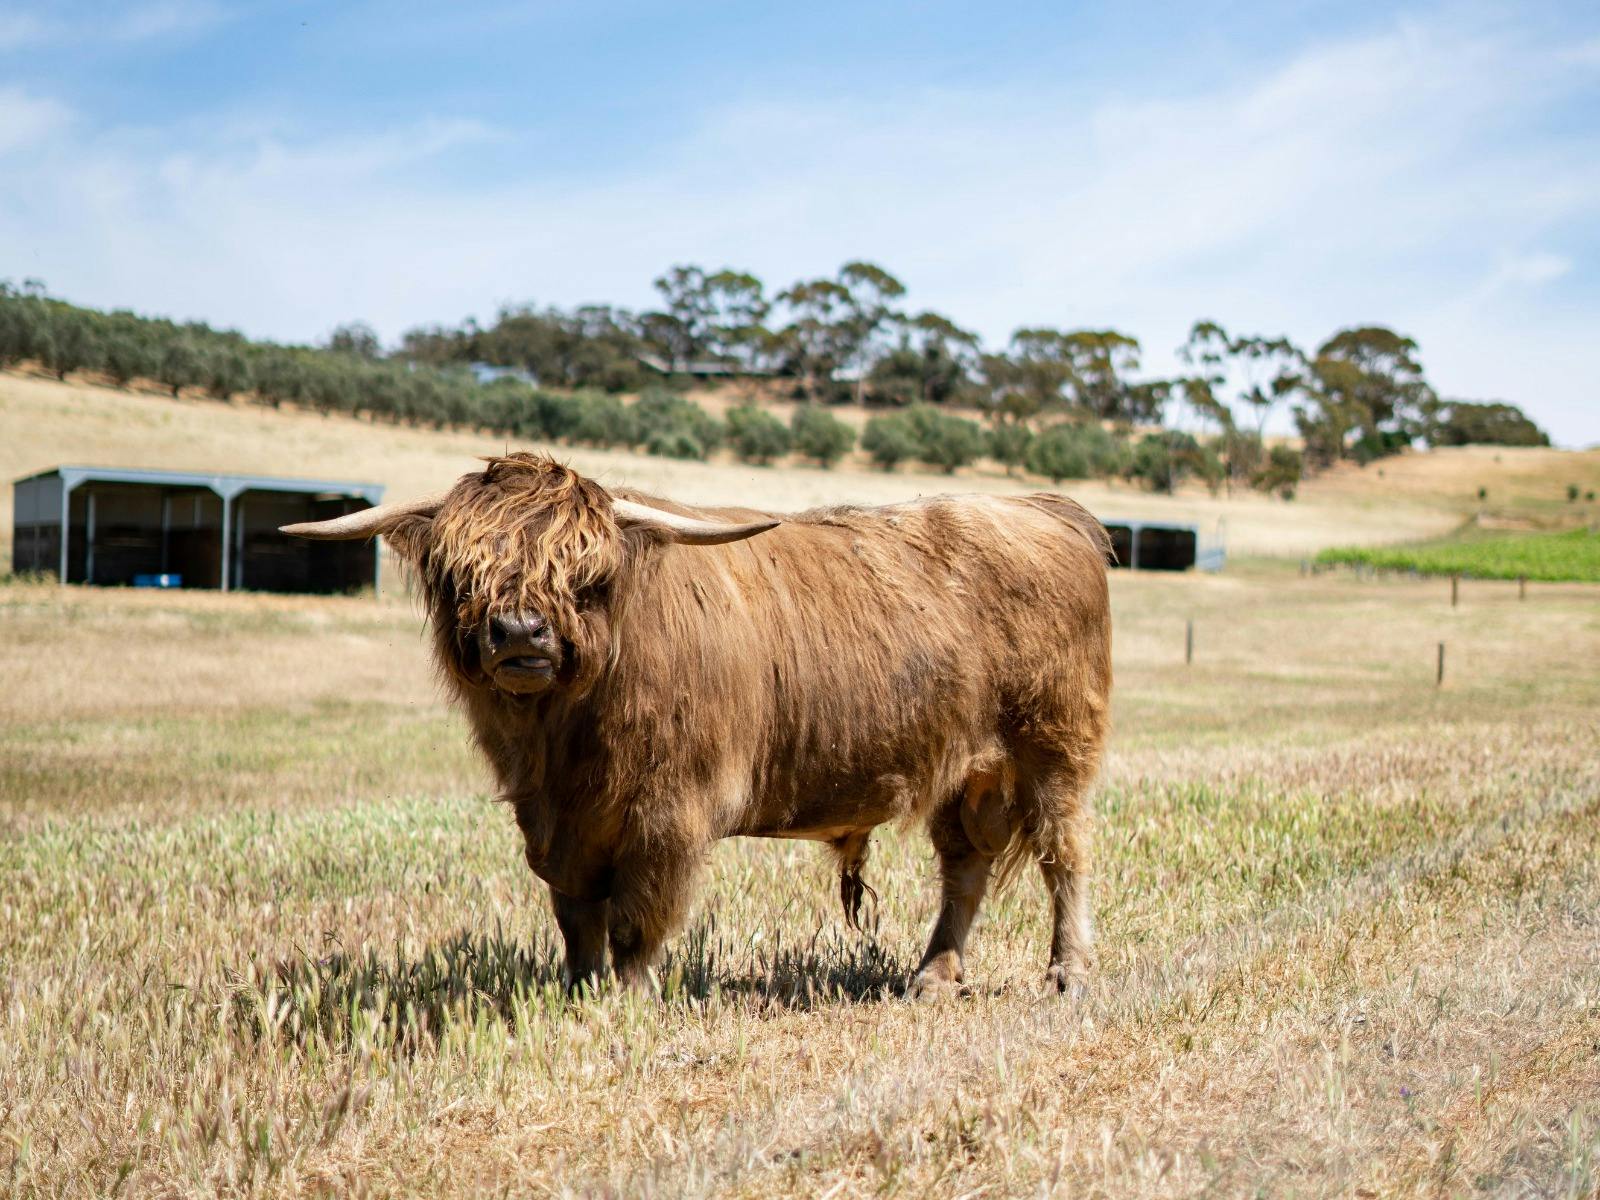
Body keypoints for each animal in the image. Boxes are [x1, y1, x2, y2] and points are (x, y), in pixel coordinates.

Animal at [284, 453, 1112, 998]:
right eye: (464, 573)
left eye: (586, 575)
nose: (521, 635)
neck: (567, 741)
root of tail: (1042, 508)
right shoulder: (554, 821)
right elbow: (576, 916)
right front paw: (579, 994)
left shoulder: (669, 813)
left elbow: (637, 918)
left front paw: (630, 999)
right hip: (964, 770)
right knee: (964, 868)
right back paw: (933, 975)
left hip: (1053, 749)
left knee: (1064, 855)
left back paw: (1068, 973)